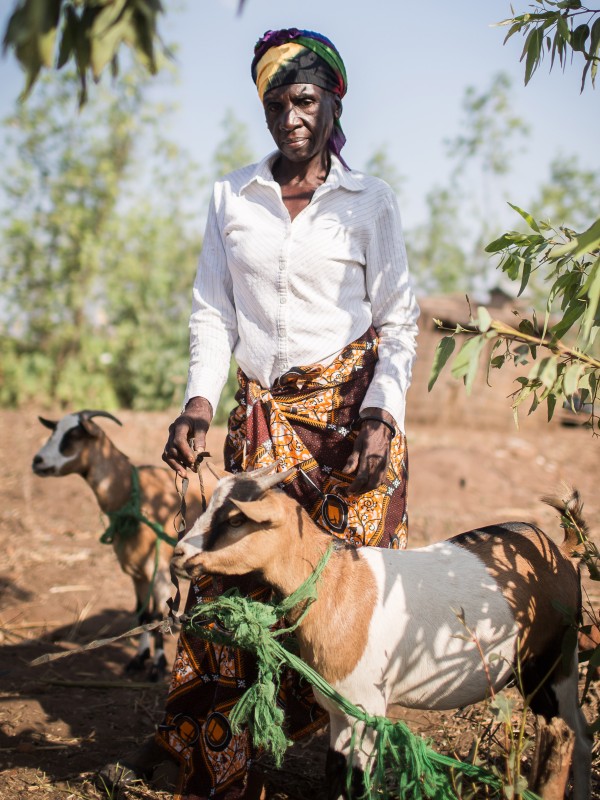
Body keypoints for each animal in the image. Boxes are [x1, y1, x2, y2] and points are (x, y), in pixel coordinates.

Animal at [32, 410, 205, 680]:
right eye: (54, 431)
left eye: (74, 435)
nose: (37, 462)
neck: (132, 495)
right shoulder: (136, 573)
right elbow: (143, 614)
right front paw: (139, 658)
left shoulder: (159, 571)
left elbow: (159, 615)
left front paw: (157, 665)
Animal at [171, 462, 592, 800]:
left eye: (236, 519)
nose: (178, 554)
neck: (338, 584)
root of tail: (561, 552)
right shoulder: (340, 710)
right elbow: (336, 775)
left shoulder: (367, 708)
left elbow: (357, 782)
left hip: (554, 665)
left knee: (579, 736)